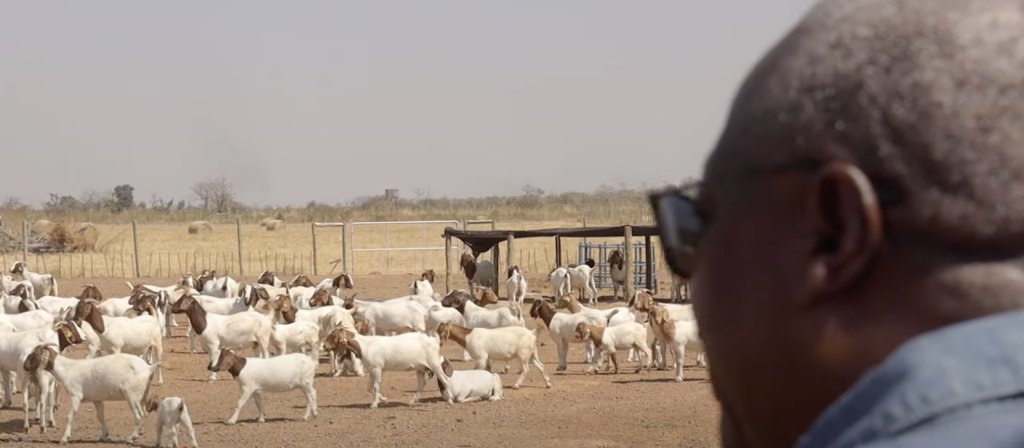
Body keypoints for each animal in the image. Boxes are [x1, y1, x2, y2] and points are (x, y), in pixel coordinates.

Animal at [319, 327, 448, 407]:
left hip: (434, 364)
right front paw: (384, 399)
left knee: (444, 379)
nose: (324, 346)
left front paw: (374, 404)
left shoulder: (377, 369)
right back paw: (412, 401)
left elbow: (375, 387)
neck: (365, 346)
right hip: (420, 368)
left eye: (333, 335)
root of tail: (434, 340)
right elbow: (370, 388)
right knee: (422, 383)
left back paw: (449, 399)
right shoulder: (372, 370)